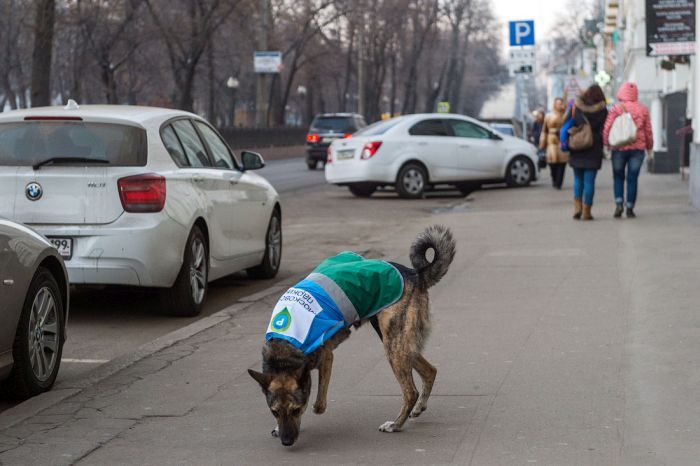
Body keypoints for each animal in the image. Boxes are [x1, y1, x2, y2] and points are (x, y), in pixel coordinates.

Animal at [249, 224, 456, 446]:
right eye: (274, 412)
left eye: (296, 410)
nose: (287, 442)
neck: (284, 347)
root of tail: (415, 274)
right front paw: (278, 427)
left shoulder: (326, 357)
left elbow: (319, 402)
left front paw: (315, 408)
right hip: (400, 344)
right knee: (430, 371)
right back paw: (418, 408)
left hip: (393, 345)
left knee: (411, 392)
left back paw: (396, 425)